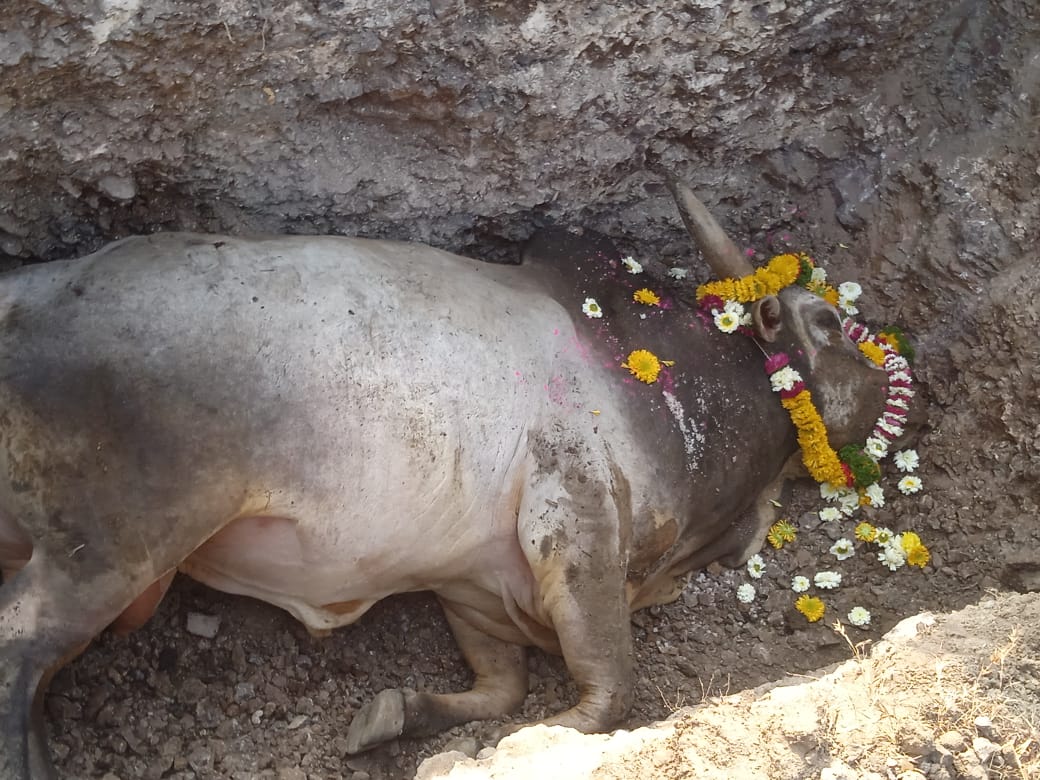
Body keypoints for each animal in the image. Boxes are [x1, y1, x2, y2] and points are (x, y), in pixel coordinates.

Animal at [0, 179, 915, 777]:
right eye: (827, 322)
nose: (890, 383)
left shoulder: (473, 587)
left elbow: (502, 686)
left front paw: (395, 715)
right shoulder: (576, 523)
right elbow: (608, 690)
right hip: (116, 543)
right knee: (20, 650)